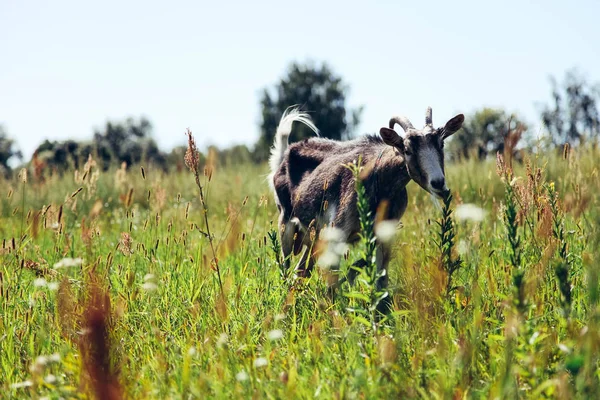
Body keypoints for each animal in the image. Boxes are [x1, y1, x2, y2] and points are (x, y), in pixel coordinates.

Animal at [270, 105, 466, 304]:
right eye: (407, 149)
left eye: (441, 144)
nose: (438, 183)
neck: (380, 179)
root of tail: (283, 158)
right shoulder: (338, 230)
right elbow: (333, 281)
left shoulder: (383, 234)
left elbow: (380, 278)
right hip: (286, 224)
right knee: (286, 267)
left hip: (314, 238)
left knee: (301, 271)